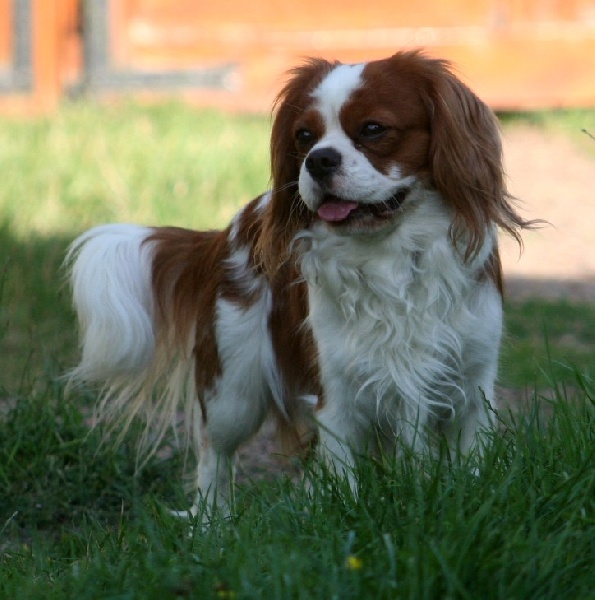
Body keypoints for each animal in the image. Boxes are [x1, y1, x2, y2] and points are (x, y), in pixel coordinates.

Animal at [67, 50, 528, 516]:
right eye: (304, 136)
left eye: (373, 129)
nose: (319, 159)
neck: (390, 256)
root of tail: (226, 230)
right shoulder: (337, 397)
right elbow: (343, 475)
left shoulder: (471, 389)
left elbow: (470, 465)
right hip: (233, 390)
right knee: (214, 457)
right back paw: (213, 525)